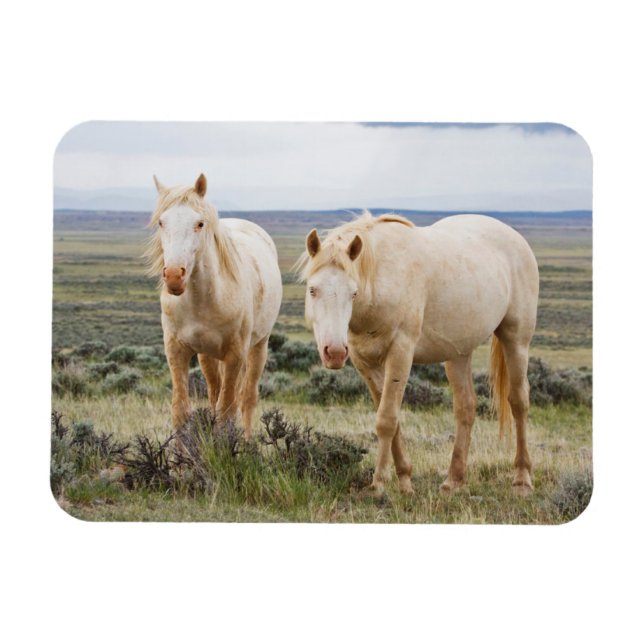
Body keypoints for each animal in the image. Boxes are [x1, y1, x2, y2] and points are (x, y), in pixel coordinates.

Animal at [145, 174, 282, 439]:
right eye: (161, 222)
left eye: (200, 224)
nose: (174, 276)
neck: (203, 301)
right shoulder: (176, 350)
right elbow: (181, 410)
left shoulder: (235, 354)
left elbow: (227, 411)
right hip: (207, 355)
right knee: (214, 392)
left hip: (259, 346)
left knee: (247, 397)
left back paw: (247, 440)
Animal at [297, 211, 539, 495]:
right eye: (313, 289)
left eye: (353, 293)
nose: (334, 352)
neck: (382, 280)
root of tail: (515, 237)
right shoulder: (364, 362)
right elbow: (391, 419)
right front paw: (404, 480)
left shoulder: (400, 353)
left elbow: (387, 419)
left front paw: (379, 484)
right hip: (458, 353)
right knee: (466, 407)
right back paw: (454, 480)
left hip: (516, 340)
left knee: (518, 402)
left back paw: (522, 478)